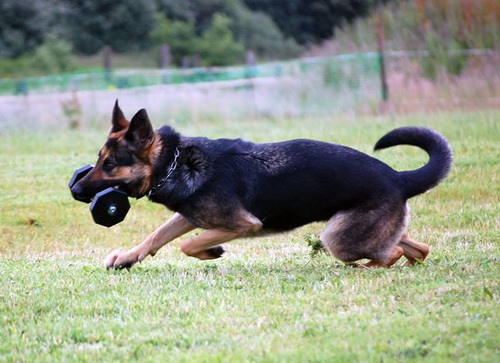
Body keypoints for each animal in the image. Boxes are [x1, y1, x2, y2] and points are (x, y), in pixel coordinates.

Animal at [69, 102, 454, 270]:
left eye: (110, 164)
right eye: (99, 159)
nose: (75, 190)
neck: (175, 162)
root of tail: (398, 177)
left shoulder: (242, 224)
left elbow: (187, 245)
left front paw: (211, 251)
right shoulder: (189, 215)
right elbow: (155, 237)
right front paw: (126, 258)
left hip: (338, 237)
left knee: (390, 255)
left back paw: (363, 269)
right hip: (362, 229)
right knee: (416, 249)